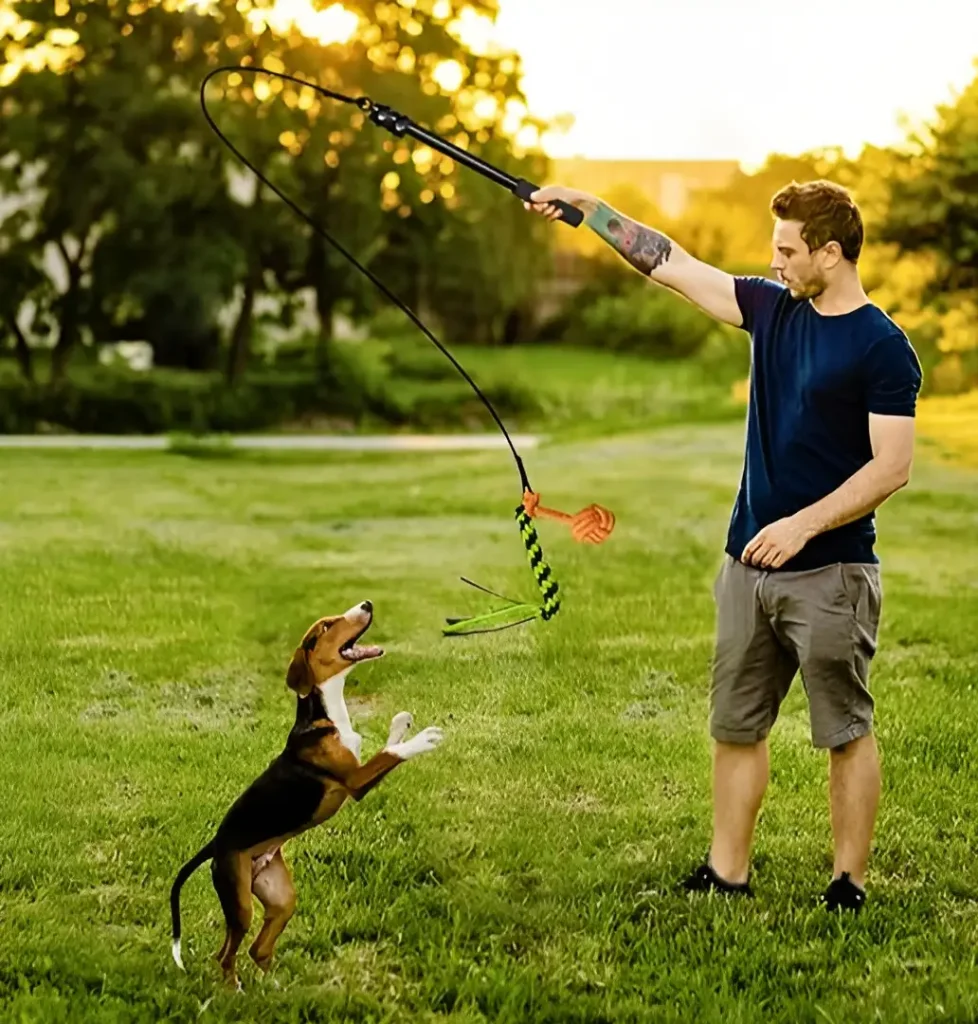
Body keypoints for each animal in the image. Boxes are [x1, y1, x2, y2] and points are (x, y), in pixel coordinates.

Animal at [167, 598, 444, 991]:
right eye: (326, 626)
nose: (367, 603)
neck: (326, 715)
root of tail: (215, 845)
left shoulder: (358, 770)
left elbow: (388, 743)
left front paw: (402, 723)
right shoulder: (356, 781)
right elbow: (390, 753)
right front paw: (423, 739)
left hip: (281, 897)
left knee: (258, 950)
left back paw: (276, 988)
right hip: (240, 901)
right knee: (225, 954)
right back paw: (236, 991)